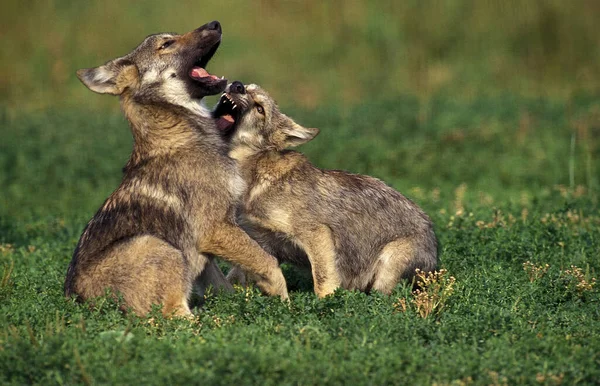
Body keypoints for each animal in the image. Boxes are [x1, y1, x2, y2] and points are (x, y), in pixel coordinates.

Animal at [64, 21, 290, 316]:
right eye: (166, 44)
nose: (215, 23)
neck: (185, 136)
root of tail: (78, 303)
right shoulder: (215, 229)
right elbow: (270, 263)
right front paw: (284, 302)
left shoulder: (208, 254)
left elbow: (227, 287)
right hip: (161, 247)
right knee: (176, 317)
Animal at [213, 81, 438, 298]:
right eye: (247, 87)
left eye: (260, 108)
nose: (236, 85)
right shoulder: (260, 242)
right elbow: (235, 277)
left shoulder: (316, 233)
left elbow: (323, 283)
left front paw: (327, 305)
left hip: (387, 267)